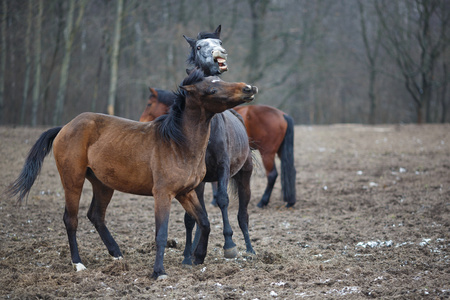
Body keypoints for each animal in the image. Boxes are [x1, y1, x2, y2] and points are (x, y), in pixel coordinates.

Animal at [6, 69, 256, 280]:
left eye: (220, 79)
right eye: (211, 89)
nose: (248, 88)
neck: (178, 143)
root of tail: (65, 127)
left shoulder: (186, 192)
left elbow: (203, 221)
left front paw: (197, 257)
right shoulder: (163, 194)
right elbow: (162, 234)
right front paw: (159, 272)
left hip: (103, 184)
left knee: (96, 215)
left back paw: (117, 254)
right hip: (72, 180)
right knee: (71, 219)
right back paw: (78, 263)